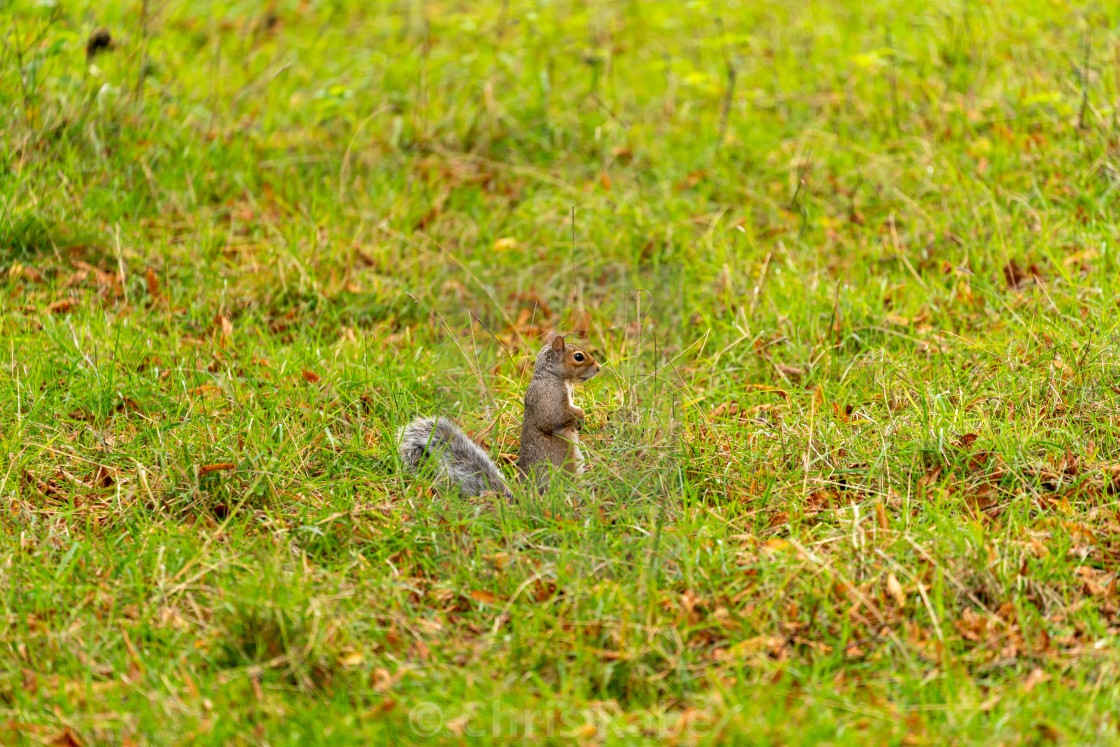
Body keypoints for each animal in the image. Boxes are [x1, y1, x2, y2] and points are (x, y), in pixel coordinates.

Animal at [398, 331, 600, 497]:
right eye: (578, 356)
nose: (599, 368)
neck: (551, 376)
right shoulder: (548, 397)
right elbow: (552, 419)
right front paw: (580, 416)